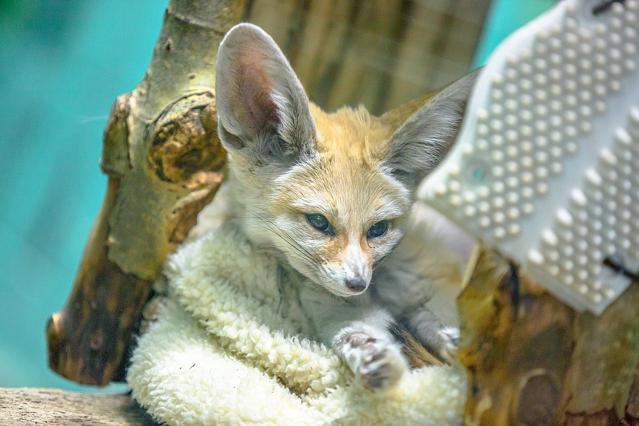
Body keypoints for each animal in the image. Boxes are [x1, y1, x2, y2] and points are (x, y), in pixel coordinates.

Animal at [215, 22, 476, 390]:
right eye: (319, 222)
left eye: (378, 229)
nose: (357, 284)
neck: (381, 289)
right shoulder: (336, 313)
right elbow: (357, 334)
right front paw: (379, 361)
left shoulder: (440, 283)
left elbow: (440, 317)